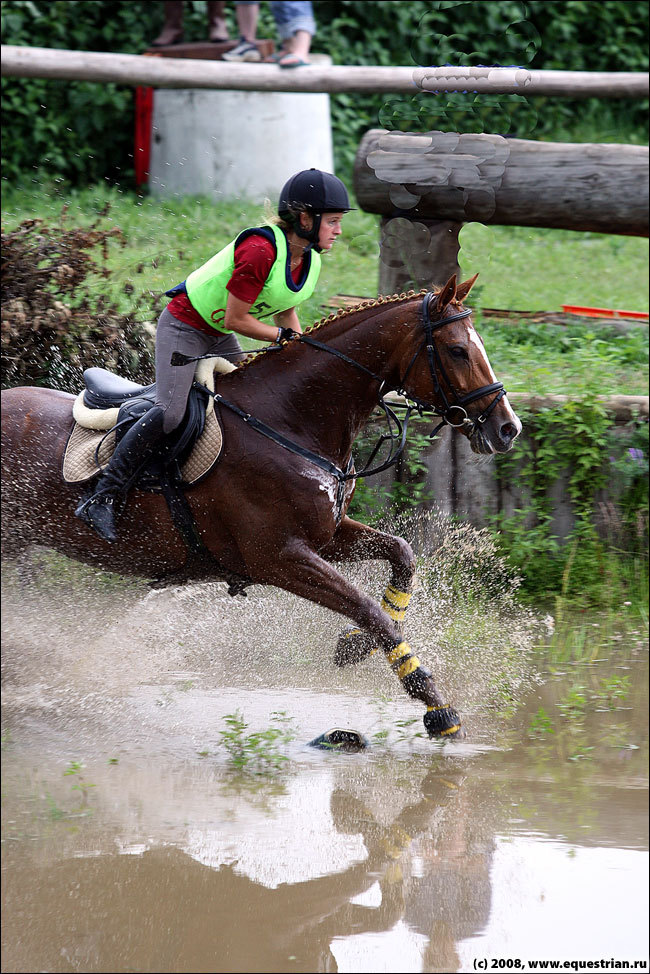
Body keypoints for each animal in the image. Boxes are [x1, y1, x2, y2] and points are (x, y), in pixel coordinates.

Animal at [0, 274, 516, 740]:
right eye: (457, 351)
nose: (508, 428)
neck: (289, 420)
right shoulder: (279, 557)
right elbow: (367, 607)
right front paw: (437, 708)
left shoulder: (326, 537)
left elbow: (401, 555)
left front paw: (355, 648)